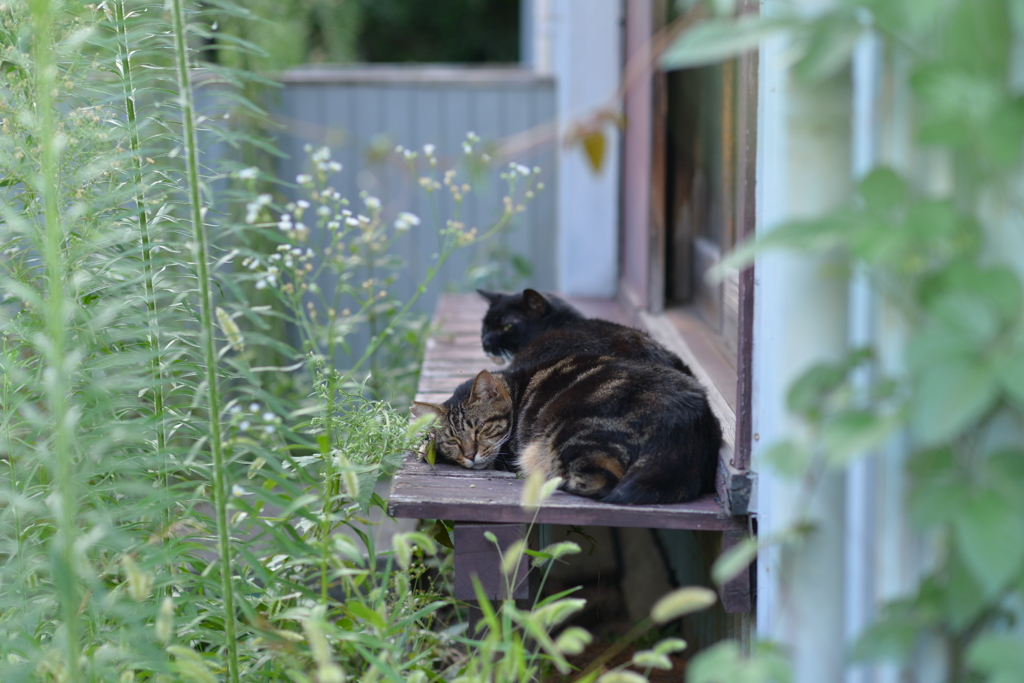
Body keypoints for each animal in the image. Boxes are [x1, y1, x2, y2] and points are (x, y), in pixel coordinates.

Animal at [411, 356, 724, 505]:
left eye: (480, 429)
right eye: (453, 441)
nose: (470, 455)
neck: (517, 388)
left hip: (570, 437)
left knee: (597, 482)